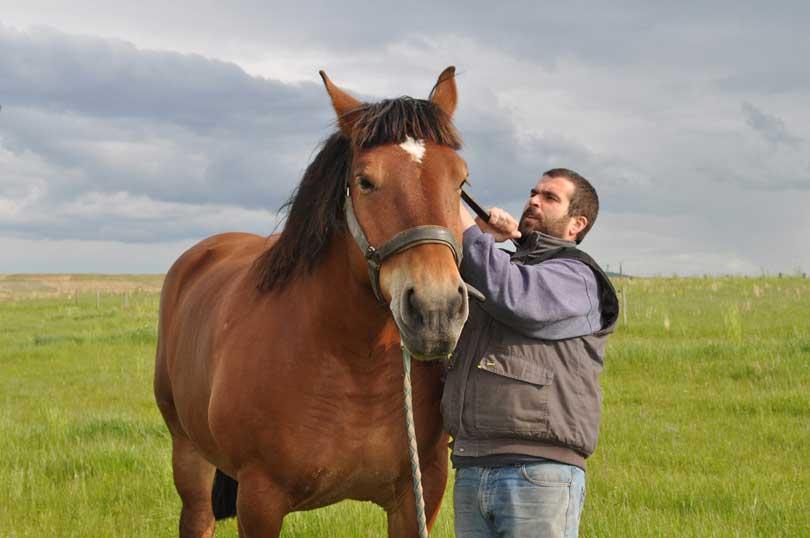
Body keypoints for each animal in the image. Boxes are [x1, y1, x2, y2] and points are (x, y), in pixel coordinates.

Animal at [153, 68, 468, 536]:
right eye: (365, 181)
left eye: (461, 180)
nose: (436, 309)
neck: (354, 363)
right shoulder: (259, 501)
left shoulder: (419, 494)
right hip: (189, 457)